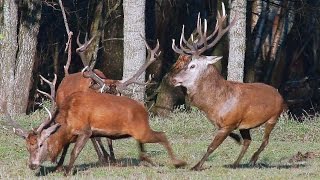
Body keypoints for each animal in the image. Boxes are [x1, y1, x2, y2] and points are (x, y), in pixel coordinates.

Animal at [169, 3, 286, 170]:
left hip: (273, 117)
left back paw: (252, 159)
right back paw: (235, 163)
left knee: (265, 140)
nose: (173, 79)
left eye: (192, 65)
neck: (214, 105)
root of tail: (279, 94)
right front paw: (236, 139)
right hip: (248, 126)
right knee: (248, 141)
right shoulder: (225, 123)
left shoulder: (230, 122)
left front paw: (196, 166)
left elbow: (211, 146)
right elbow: (232, 137)